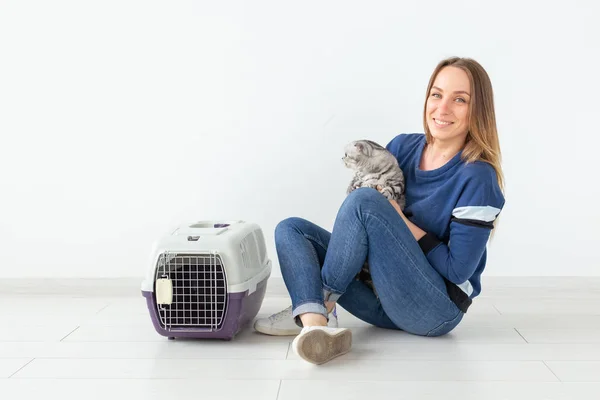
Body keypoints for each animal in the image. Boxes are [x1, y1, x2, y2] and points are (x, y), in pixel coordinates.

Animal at [342, 139, 408, 296]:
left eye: (346, 154)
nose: (341, 158)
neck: (372, 172)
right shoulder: (356, 181)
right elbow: (354, 186)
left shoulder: (398, 184)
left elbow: (390, 189)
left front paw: (384, 192)